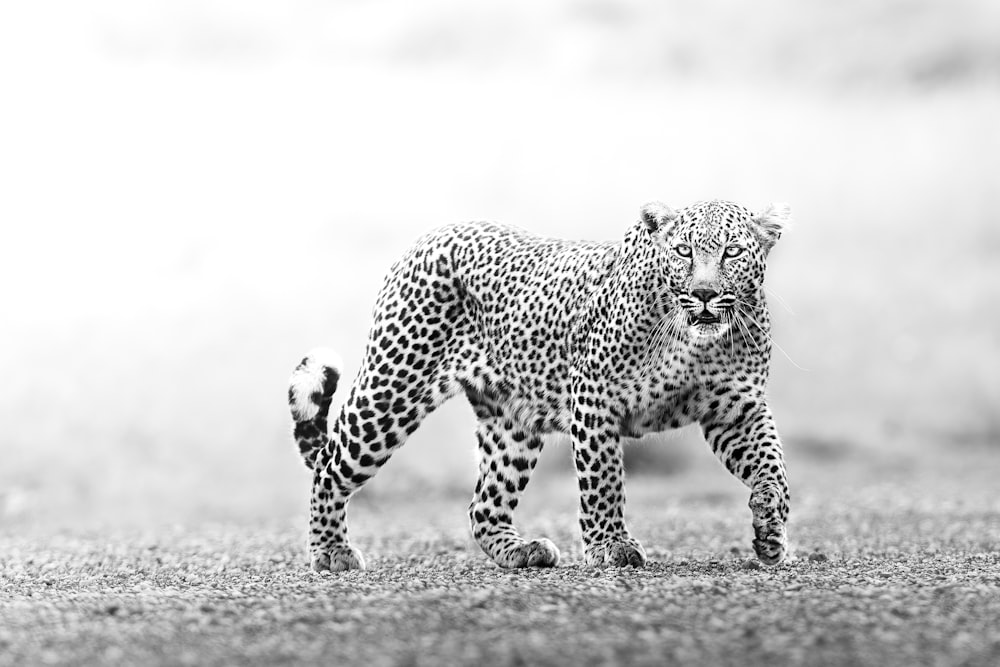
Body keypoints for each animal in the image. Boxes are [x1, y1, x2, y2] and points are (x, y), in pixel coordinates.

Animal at [288, 198, 788, 568]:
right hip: (393, 388)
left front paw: (771, 527)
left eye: (732, 252)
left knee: (484, 505)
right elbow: (604, 480)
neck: (694, 340)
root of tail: (428, 237)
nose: (704, 294)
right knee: (330, 466)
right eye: (684, 251)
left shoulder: (737, 410)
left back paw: (521, 551)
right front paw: (611, 546)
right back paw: (331, 553)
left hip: (510, 424)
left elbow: (773, 465)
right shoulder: (595, 397)